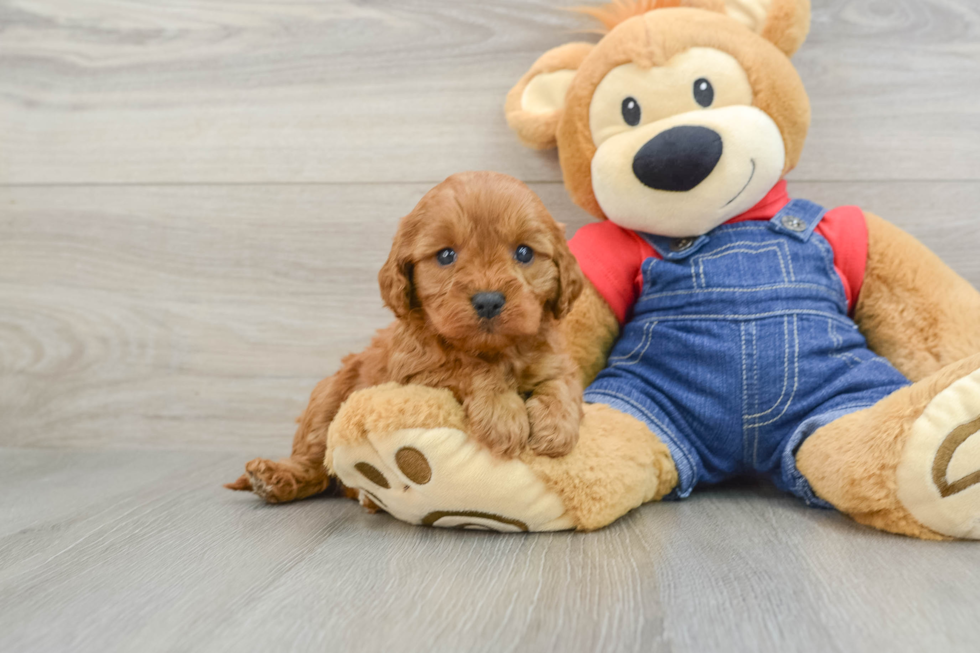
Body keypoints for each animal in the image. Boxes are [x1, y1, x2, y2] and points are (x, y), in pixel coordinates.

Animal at [226, 171, 584, 502]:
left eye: (524, 253)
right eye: (446, 255)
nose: (488, 300)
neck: (494, 350)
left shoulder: (555, 359)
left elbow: (562, 383)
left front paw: (556, 426)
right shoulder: (417, 373)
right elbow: (469, 370)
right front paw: (503, 415)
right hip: (326, 397)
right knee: (316, 463)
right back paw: (276, 478)